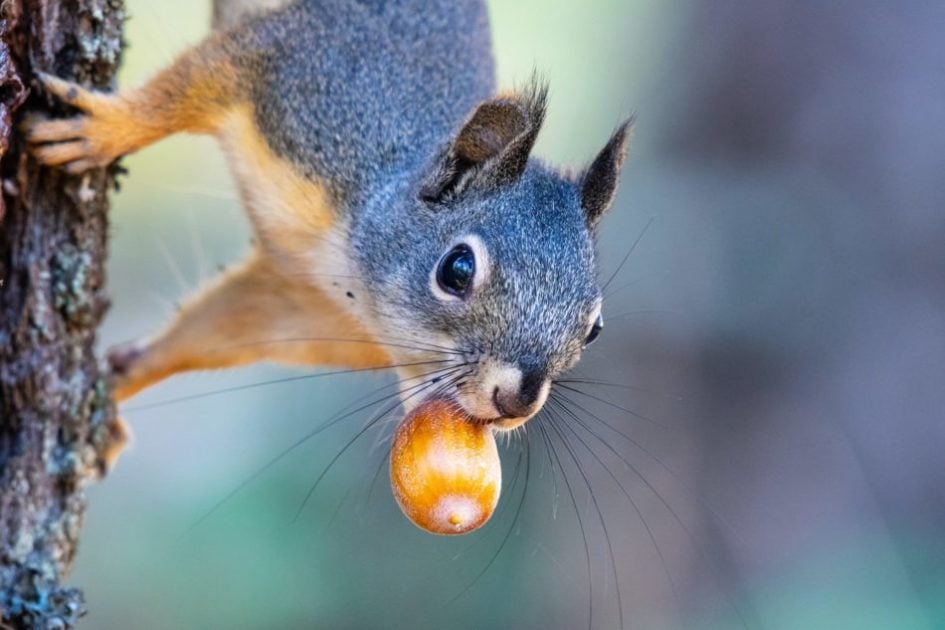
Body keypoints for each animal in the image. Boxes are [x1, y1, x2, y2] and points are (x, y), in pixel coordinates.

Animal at [24, 0, 628, 444]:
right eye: (456, 270)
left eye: (595, 327)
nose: (517, 400)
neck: (346, 267)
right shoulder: (301, 76)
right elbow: (188, 85)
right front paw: (104, 129)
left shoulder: (296, 308)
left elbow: (211, 333)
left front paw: (114, 387)